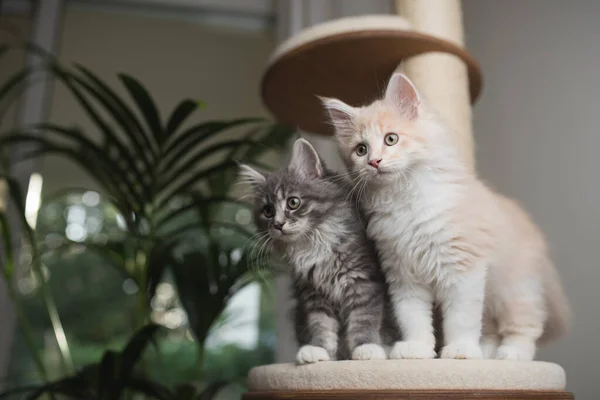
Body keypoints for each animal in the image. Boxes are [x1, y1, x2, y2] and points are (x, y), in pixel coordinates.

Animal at [241, 139, 392, 364]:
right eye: (267, 211)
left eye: (293, 202)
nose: (278, 224)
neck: (313, 243)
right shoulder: (313, 292)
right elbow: (321, 325)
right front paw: (320, 350)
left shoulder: (364, 280)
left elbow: (363, 319)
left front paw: (367, 348)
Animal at [322, 73, 568, 360]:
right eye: (361, 150)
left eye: (391, 139)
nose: (374, 162)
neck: (405, 200)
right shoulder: (403, 275)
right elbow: (413, 318)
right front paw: (417, 348)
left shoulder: (463, 269)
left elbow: (461, 318)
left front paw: (459, 350)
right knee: (492, 328)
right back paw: (485, 351)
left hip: (514, 289)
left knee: (526, 325)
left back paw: (511, 354)